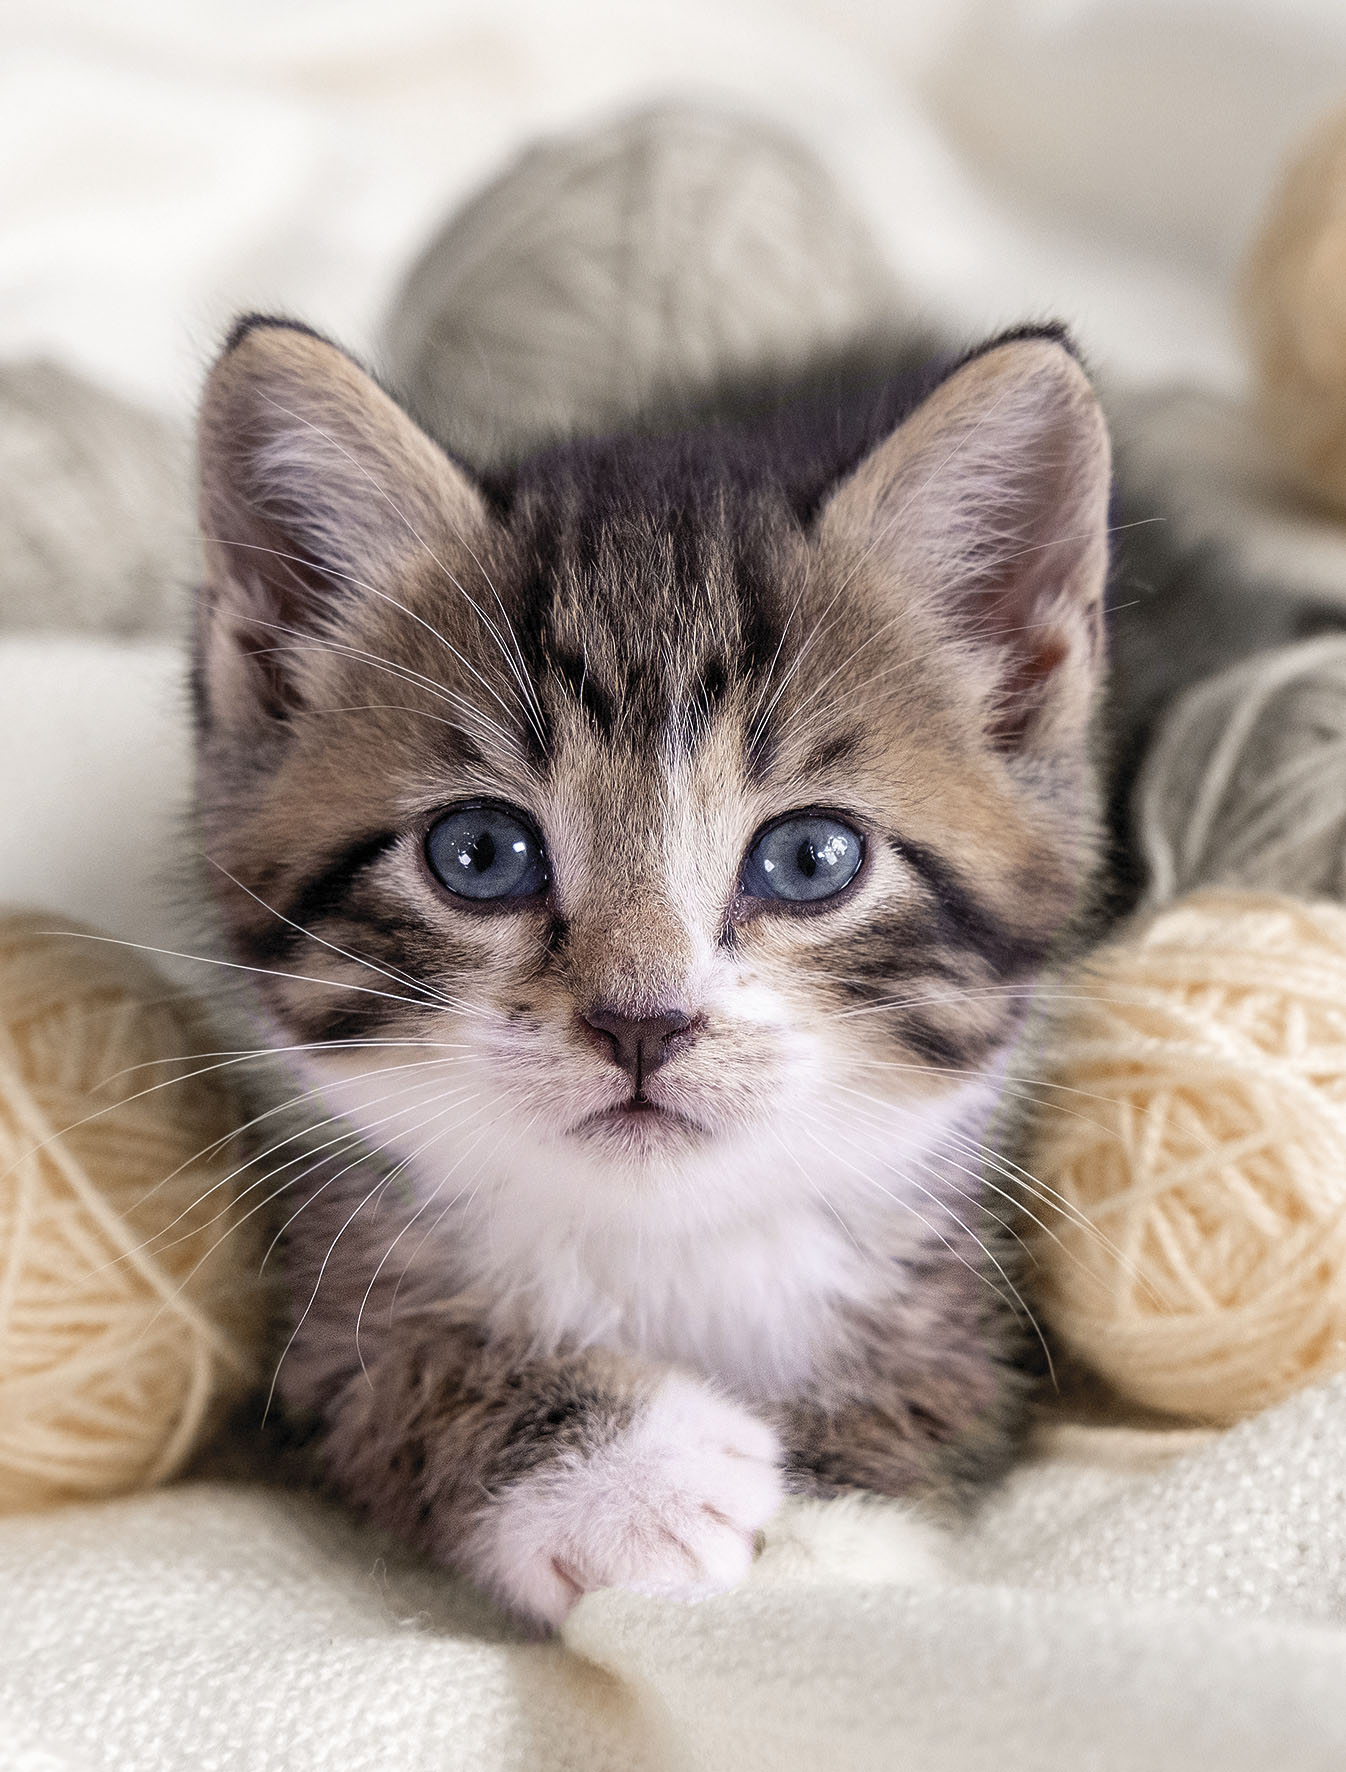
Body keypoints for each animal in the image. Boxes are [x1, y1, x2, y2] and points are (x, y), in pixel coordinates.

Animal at [192, 315, 1112, 1623]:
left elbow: (947, 1368)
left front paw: (816, 1538)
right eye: (478, 853)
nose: (642, 1021)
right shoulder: (327, 1277)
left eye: (809, 858)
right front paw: (632, 1477)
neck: (665, 1234)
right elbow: (377, 1364)